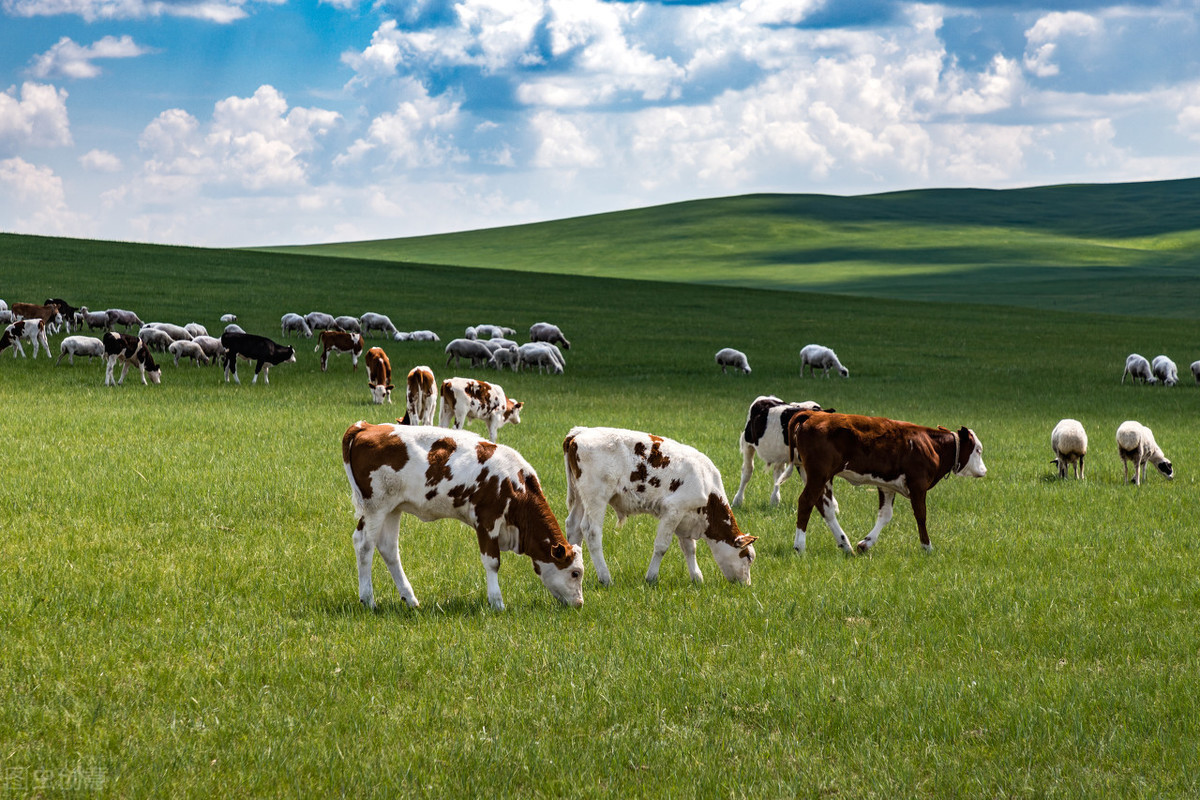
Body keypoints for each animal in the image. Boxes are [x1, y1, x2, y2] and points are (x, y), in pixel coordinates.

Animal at [340, 422, 583, 609]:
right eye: (575, 573)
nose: (579, 604)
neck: (516, 485)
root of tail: (366, 427)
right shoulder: (487, 520)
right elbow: (492, 562)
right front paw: (497, 603)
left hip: (392, 508)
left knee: (389, 548)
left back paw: (410, 599)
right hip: (376, 506)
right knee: (364, 545)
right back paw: (368, 600)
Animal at [564, 424, 753, 587]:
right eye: (749, 556)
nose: (746, 585)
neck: (707, 485)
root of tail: (580, 432)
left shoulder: (685, 517)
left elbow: (689, 549)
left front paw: (697, 578)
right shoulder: (673, 510)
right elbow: (662, 546)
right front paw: (651, 577)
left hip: (581, 498)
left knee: (573, 526)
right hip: (597, 497)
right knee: (591, 532)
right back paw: (605, 578)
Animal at [787, 412, 984, 556]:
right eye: (978, 450)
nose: (984, 470)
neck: (931, 445)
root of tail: (813, 415)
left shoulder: (887, 486)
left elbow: (885, 515)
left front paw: (865, 544)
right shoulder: (918, 485)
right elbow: (921, 515)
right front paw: (927, 547)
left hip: (821, 478)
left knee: (824, 507)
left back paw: (845, 545)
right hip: (819, 474)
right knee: (805, 502)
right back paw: (800, 547)